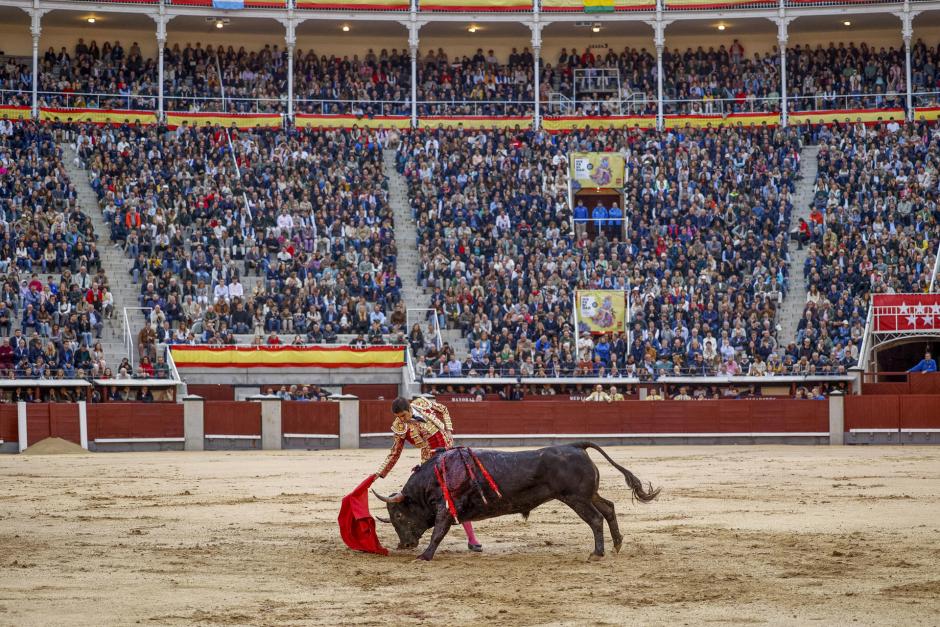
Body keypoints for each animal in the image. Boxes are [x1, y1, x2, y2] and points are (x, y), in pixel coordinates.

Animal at [370, 444, 656, 560]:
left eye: (398, 516)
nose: (404, 545)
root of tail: (576, 446)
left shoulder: (446, 509)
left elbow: (438, 532)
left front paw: (425, 556)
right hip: (588, 495)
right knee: (608, 508)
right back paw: (617, 544)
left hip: (575, 498)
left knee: (596, 518)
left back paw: (597, 553)